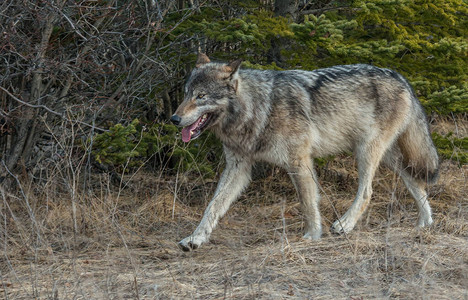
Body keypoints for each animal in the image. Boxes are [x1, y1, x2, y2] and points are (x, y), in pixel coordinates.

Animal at [171, 53, 438, 251]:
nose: (174, 119)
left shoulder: (299, 161)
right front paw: (195, 239)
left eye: (201, 96)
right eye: (185, 94)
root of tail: (401, 78)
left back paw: (344, 225)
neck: (258, 109)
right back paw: (425, 223)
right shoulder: (238, 167)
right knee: (417, 183)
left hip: (366, 152)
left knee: (367, 192)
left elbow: (308, 202)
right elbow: (213, 206)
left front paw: (312, 236)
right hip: (390, 158)